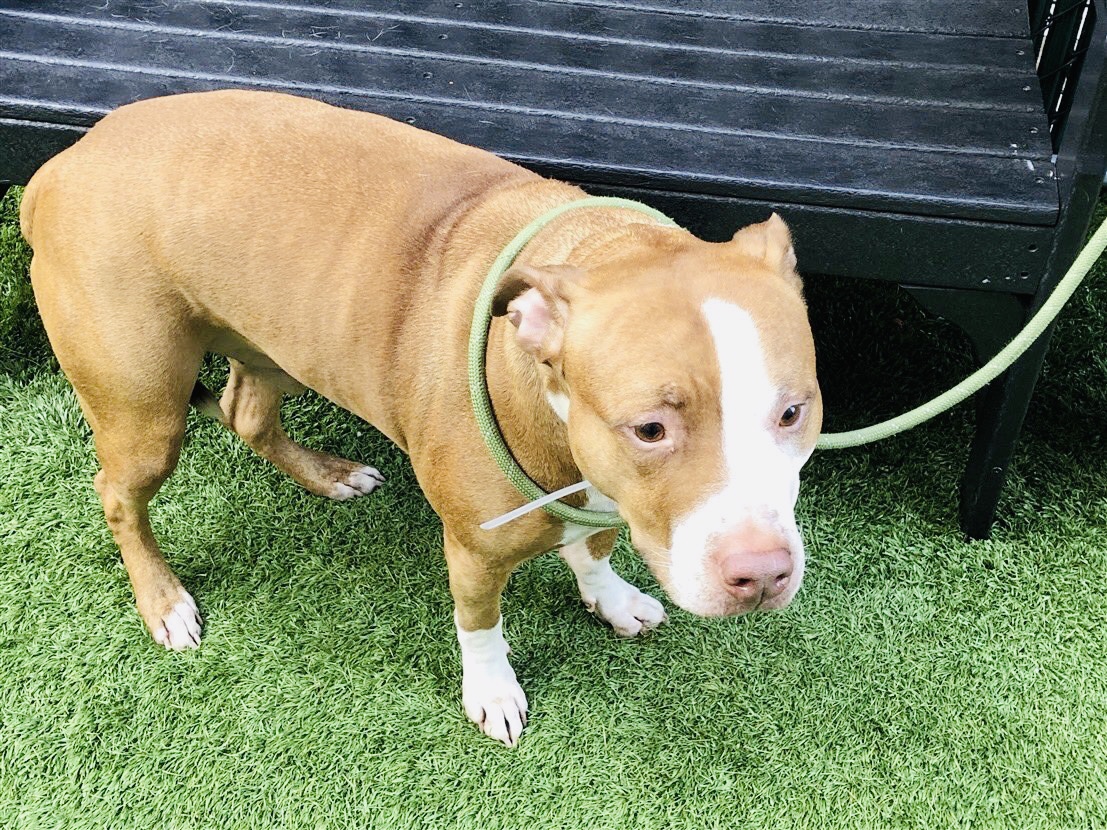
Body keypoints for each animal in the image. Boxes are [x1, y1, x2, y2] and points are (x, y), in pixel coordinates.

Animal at [20, 89, 822, 746]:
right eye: (650, 429)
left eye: (793, 411)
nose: (761, 575)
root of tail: (63, 163)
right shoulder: (474, 547)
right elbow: (480, 623)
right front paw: (492, 692)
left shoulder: (601, 495)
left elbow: (593, 549)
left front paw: (612, 597)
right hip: (144, 409)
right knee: (118, 494)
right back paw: (164, 602)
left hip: (281, 345)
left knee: (247, 415)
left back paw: (329, 475)